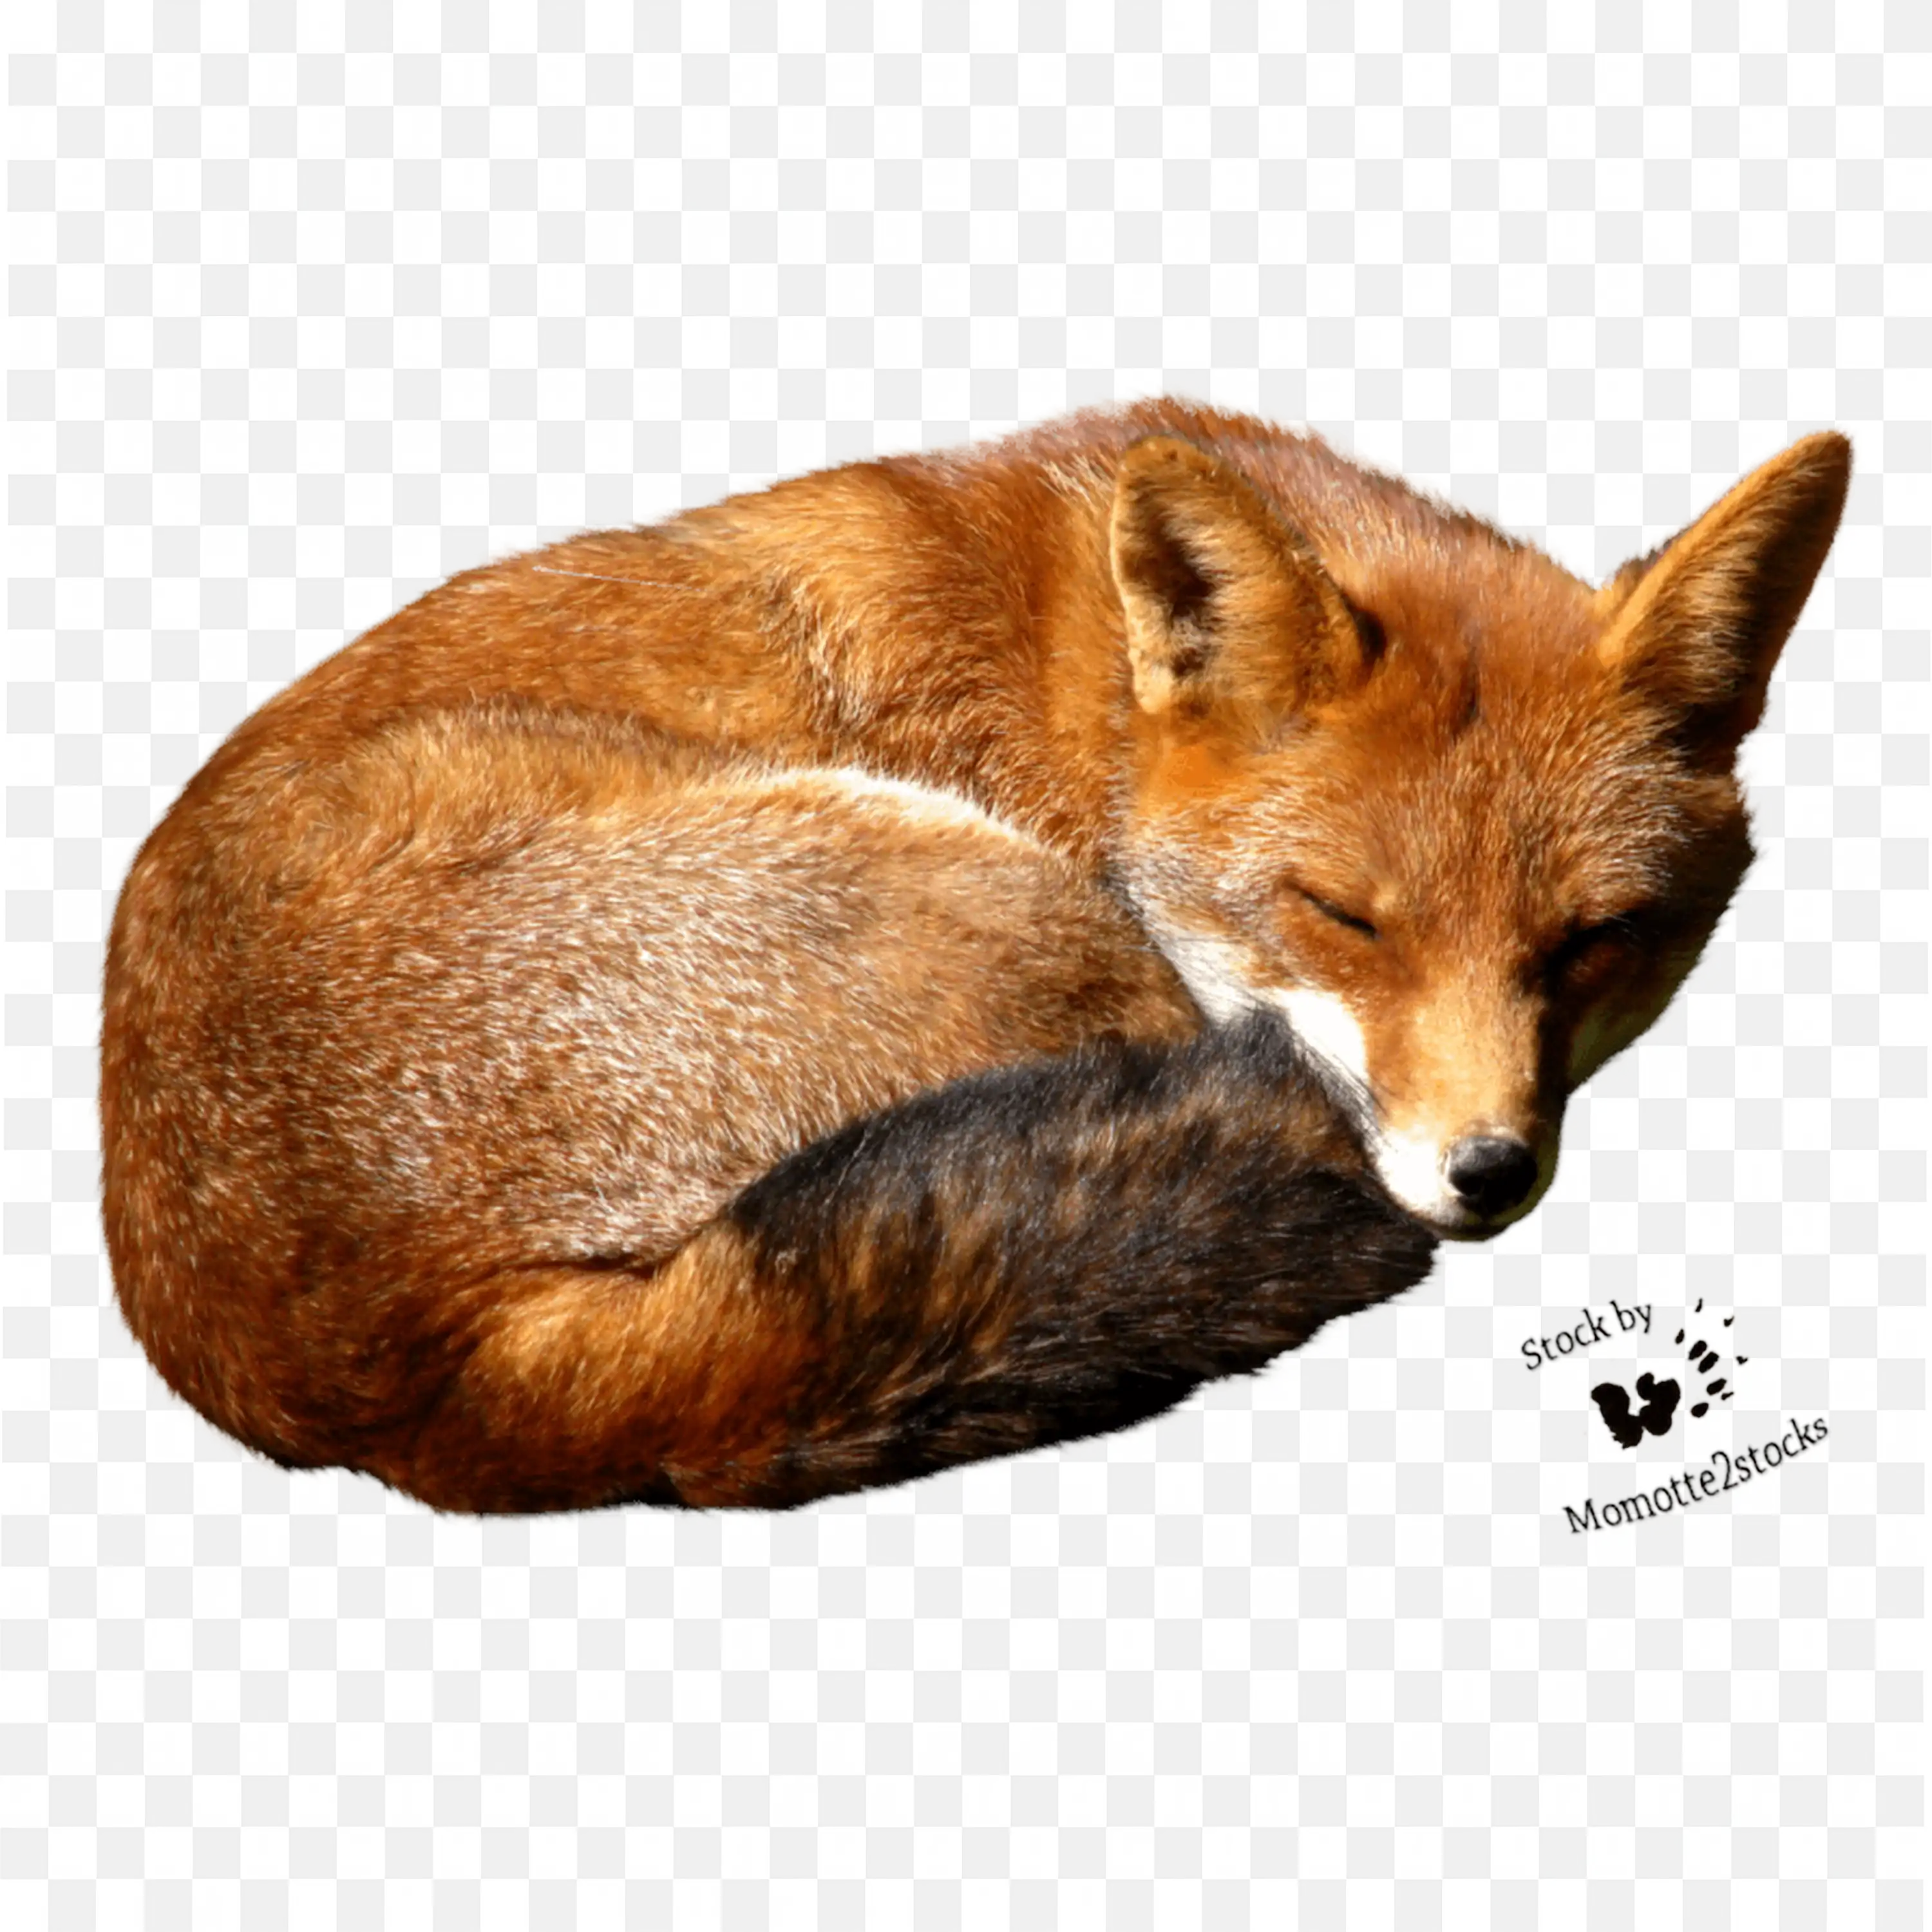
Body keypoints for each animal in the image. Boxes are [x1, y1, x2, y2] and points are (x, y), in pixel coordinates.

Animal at [96, 396, 1853, 1514]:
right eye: (1344, 917)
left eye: (1595, 942)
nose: (1484, 1173)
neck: (1088, 702)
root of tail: (397, 1389)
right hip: (1016, 914)